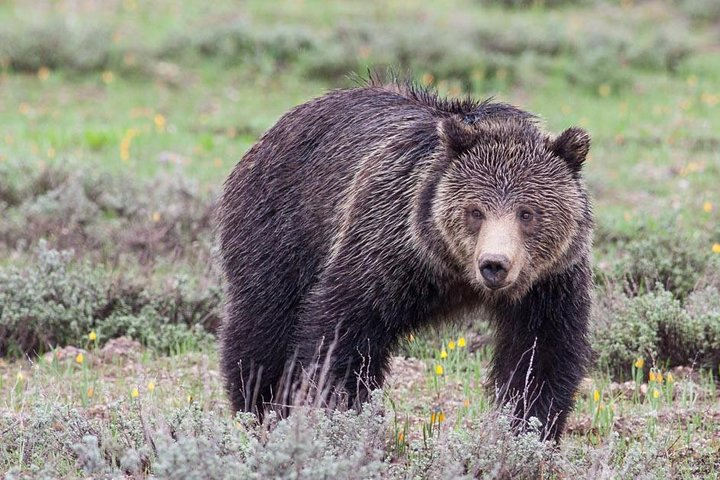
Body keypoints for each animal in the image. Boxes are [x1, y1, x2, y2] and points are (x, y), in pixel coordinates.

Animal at [217, 79, 592, 439]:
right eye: (475, 211)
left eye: (527, 213)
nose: (494, 264)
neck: (455, 275)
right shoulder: (388, 245)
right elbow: (342, 331)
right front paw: (342, 414)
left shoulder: (549, 283)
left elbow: (541, 354)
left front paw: (529, 428)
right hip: (282, 228)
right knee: (264, 323)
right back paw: (259, 407)